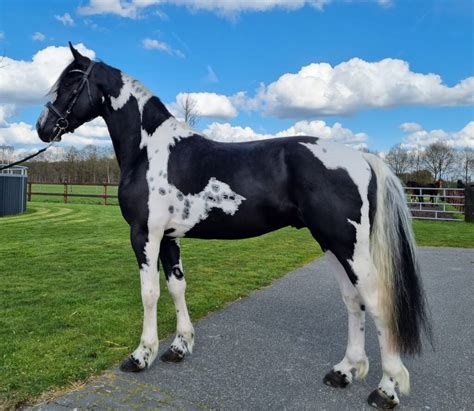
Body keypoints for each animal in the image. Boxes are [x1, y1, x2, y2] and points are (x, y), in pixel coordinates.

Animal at [35, 45, 432, 408]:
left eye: (71, 80)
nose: (42, 127)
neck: (150, 151)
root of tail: (362, 158)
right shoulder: (169, 238)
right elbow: (177, 288)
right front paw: (179, 347)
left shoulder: (144, 235)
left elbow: (149, 293)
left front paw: (141, 356)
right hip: (331, 243)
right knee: (353, 301)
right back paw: (344, 371)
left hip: (348, 245)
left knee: (377, 302)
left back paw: (386, 390)